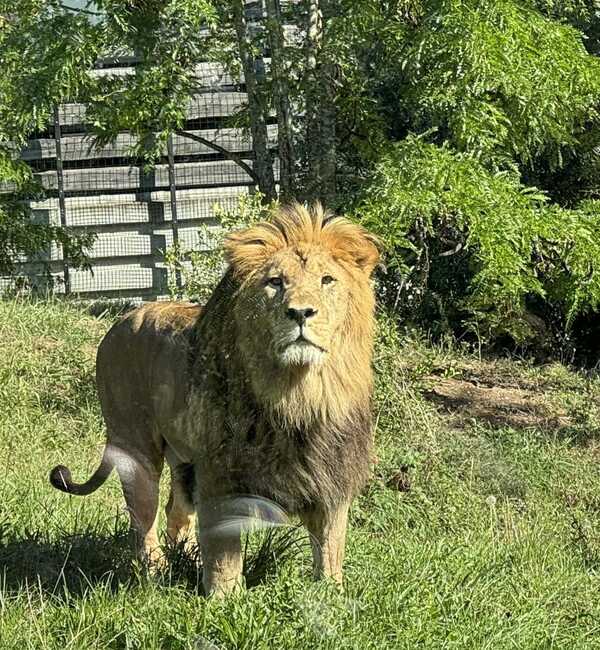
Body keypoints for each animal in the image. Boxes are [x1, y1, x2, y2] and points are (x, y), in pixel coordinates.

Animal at [50, 201, 380, 592]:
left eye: (327, 281)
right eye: (276, 282)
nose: (300, 312)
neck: (298, 394)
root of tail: (122, 319)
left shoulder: (331, 473)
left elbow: (331, 545)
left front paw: (331, 594)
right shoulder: (221, 471)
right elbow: (224, 547)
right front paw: (224, 597)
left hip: (183, 458)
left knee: (175, 510)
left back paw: (185, 560)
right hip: (135, 447)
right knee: (142, 519)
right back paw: (156, 573)